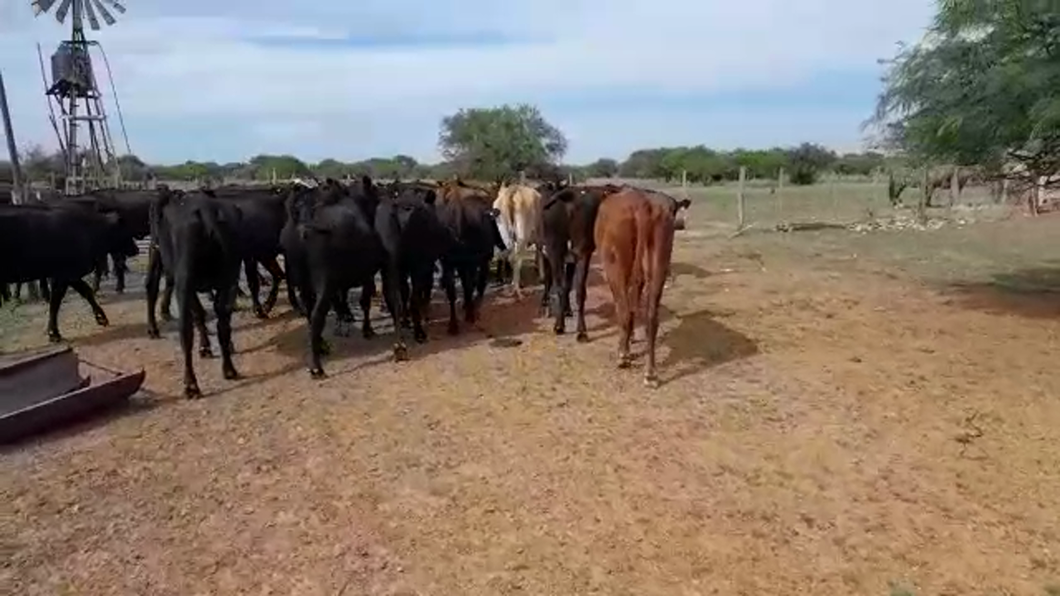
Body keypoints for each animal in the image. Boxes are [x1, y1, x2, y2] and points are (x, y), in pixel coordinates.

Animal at [0, 199, 137, 341]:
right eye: (125, 229)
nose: (136, 249)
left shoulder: (70, 275)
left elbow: (86, 292)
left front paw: (101, 318)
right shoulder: (64, 275)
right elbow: (55, 303)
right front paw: (54, 333)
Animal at [145, 187, 242, 396]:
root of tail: (207, 213)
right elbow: (202, 313)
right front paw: (207, 346)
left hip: (184, 280)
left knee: (185, 330)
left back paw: (190, 383)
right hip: (229, 278)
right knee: (223, 324)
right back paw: (229, 368)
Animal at [593, 187, 682, 388]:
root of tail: (643, 204)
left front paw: (627, 342)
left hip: (616, 263)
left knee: (624, 310)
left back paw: (623, 356)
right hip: (661, 255)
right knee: (651, 315)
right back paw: (650, 374)